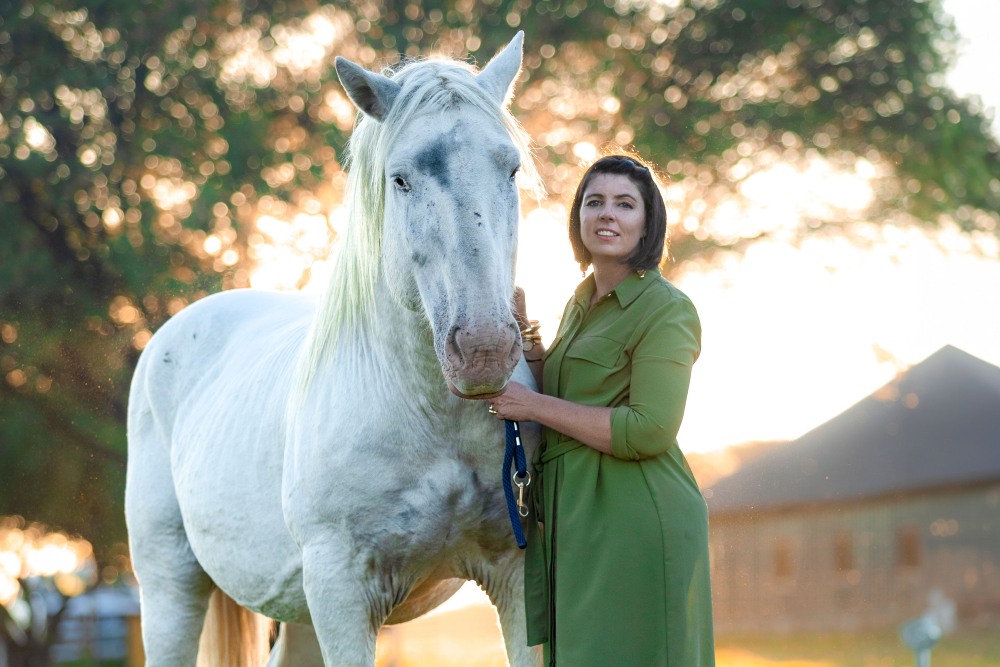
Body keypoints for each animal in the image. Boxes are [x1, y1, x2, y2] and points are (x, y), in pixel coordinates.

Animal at [124, 32, 542, 666]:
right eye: (400, 179)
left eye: (511, 168)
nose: (484, 350)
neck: (426, 412)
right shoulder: (342, 592)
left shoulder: (517, 578)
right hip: (173, 585)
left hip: (299, 610)